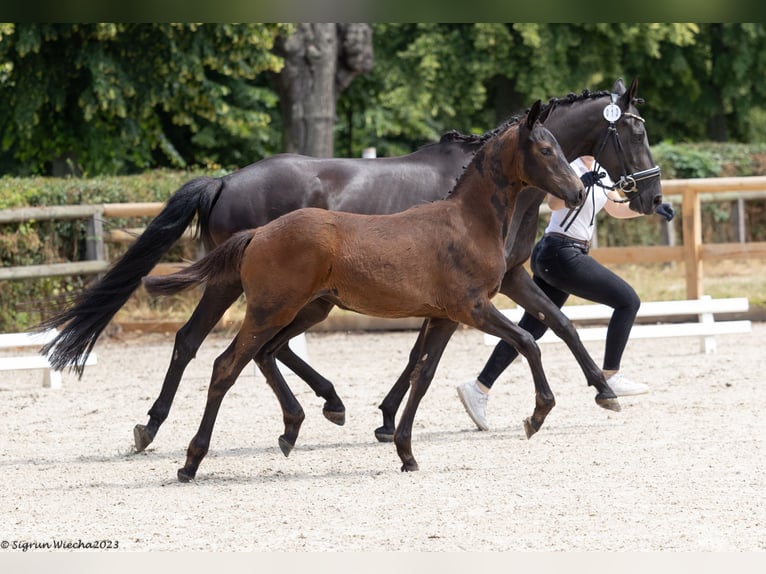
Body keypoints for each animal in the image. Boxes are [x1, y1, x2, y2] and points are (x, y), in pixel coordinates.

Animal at [42, 79, 664, 452]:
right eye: (633, 131)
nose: (652, 198)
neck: (491, 195)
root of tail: (225, 180)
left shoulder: (505, 280)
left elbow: (556, 326)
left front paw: (602, 390)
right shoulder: (468, 293)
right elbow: (439, 352)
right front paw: (388, 419)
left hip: (283, 295)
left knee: (235, 346)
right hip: (253, 289)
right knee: (213, 345)